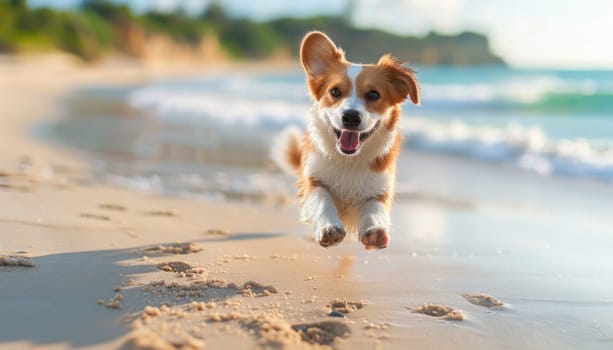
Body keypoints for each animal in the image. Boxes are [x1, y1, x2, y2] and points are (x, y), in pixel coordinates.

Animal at [272, 30, 418, 249]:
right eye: (335, 92)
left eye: (373, 94)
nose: (350, 116)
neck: (349, 160)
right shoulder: (313, 179)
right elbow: (322, 200)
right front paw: (329, 228)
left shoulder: (380, 189)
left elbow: (375, 210)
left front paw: (375, 231)